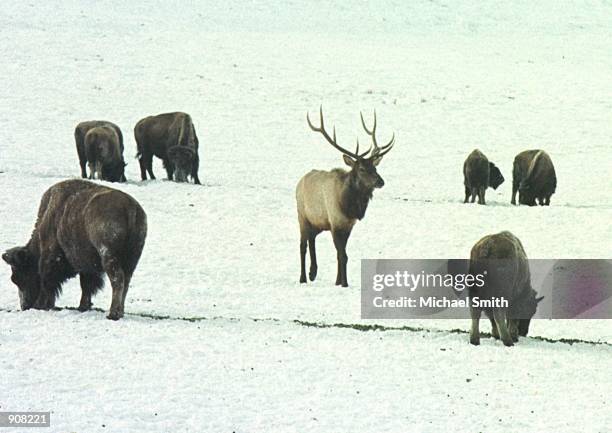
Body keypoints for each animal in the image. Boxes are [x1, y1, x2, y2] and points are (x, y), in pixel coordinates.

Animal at [1, 178, 147, 318]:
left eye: (17, 278)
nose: (25, 306)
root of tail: (131, 208)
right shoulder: (87, 266)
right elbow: (86, 285)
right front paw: (83, 306)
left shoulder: (50, 256)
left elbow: (46, 279)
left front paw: (40, 305)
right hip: (132, 259)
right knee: (126, 281)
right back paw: (120, 312)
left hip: (109, 255)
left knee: (117, 280)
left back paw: (113, 314)